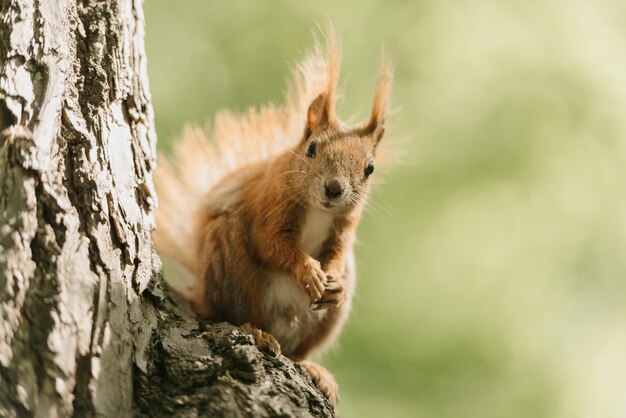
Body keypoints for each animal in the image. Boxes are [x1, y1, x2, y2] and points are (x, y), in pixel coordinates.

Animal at [152, 30, 390, 404]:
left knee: (297, 352)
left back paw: (313, 366)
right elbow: (270, 242)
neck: (318, 209)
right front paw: (308, 271)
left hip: (322, 322)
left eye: (370, 169)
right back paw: (257, 332)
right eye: (311, 149)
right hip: (232, 266)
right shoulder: (270, 204)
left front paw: (332, 280)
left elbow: (337, 252)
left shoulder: (345, 225)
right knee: (235, 315)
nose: (334, 189)